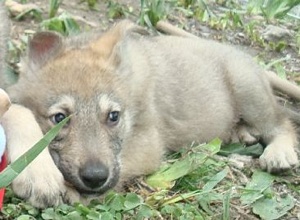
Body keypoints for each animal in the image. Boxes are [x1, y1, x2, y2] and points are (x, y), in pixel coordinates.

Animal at [6, 19, 298, 207]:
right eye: (59, 118)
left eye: (113, 116)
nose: (95, 178)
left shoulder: (148, 143)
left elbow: (123, 164)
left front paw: (71, 190)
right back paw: (242, 133)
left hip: (248, 90)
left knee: (282, 123)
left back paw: (279, 153)